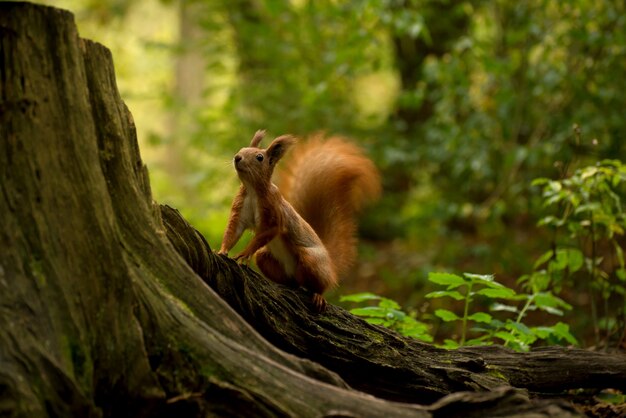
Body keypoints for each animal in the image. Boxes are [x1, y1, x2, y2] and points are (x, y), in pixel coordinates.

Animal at [217, 130, 378, 310]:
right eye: (242, 149)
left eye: (260, 157)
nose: (237, 157)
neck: (252, 190)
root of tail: (331, 266)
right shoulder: (240, 210)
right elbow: (233, 231)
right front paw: (222, 251)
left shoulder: (274, 212)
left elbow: (268, 231)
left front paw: (244, 253)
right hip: (266, 258)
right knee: (293, 281)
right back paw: (286, 284)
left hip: (312, 260)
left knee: (318, 284)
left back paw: (318, 295)